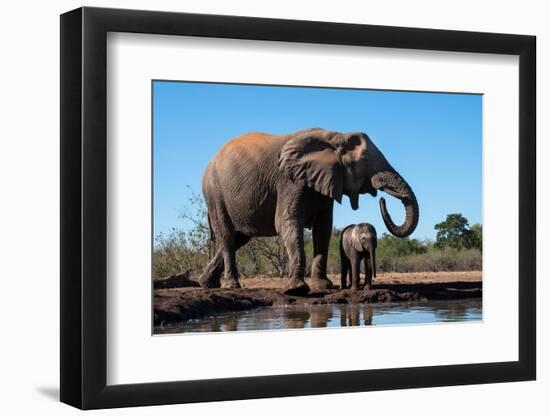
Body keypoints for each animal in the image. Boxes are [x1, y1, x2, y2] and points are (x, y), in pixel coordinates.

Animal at [201, 128, 420, 294]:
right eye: (365, 160)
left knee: (241, 237)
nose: (382, 198)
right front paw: (296, 289)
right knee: (228, 236)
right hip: (214, 192)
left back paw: (206, 283)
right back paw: (231, 286)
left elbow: (323, 228)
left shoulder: (328, 180)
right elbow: (287, 221)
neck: (334, 138)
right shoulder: (289, 180)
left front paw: (322, 286)